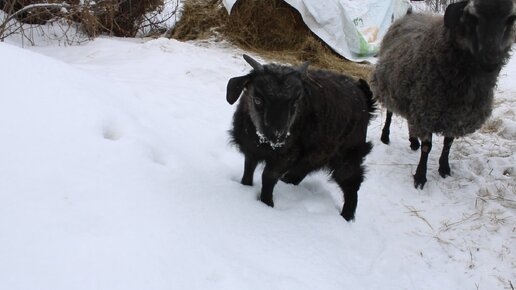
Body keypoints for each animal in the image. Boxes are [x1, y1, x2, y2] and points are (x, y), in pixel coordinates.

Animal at [227, 54, 374, 220]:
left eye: (295, 103)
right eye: (258, 99)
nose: (277, 137)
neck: (262, 143)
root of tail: (363, 95)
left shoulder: (286, 156)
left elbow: (268, 177)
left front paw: (267, 203)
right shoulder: (250, 150)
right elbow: (248, 169)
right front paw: (245, 186)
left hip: (349, 154)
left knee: (351, 184)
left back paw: (346, 218)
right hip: (318, 152)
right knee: (303, 170)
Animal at [368, 0, 512, 188]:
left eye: (511, 18)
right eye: (471, 16)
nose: (492, 58)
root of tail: (409, 14)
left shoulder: (455, 115)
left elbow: (448, 143)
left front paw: (444, 168)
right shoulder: (427, 109)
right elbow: (427, 147)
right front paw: (420, 177)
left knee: (409, 119)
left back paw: (413, 141)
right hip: (392, 86)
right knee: (390, 113)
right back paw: (386, 136)